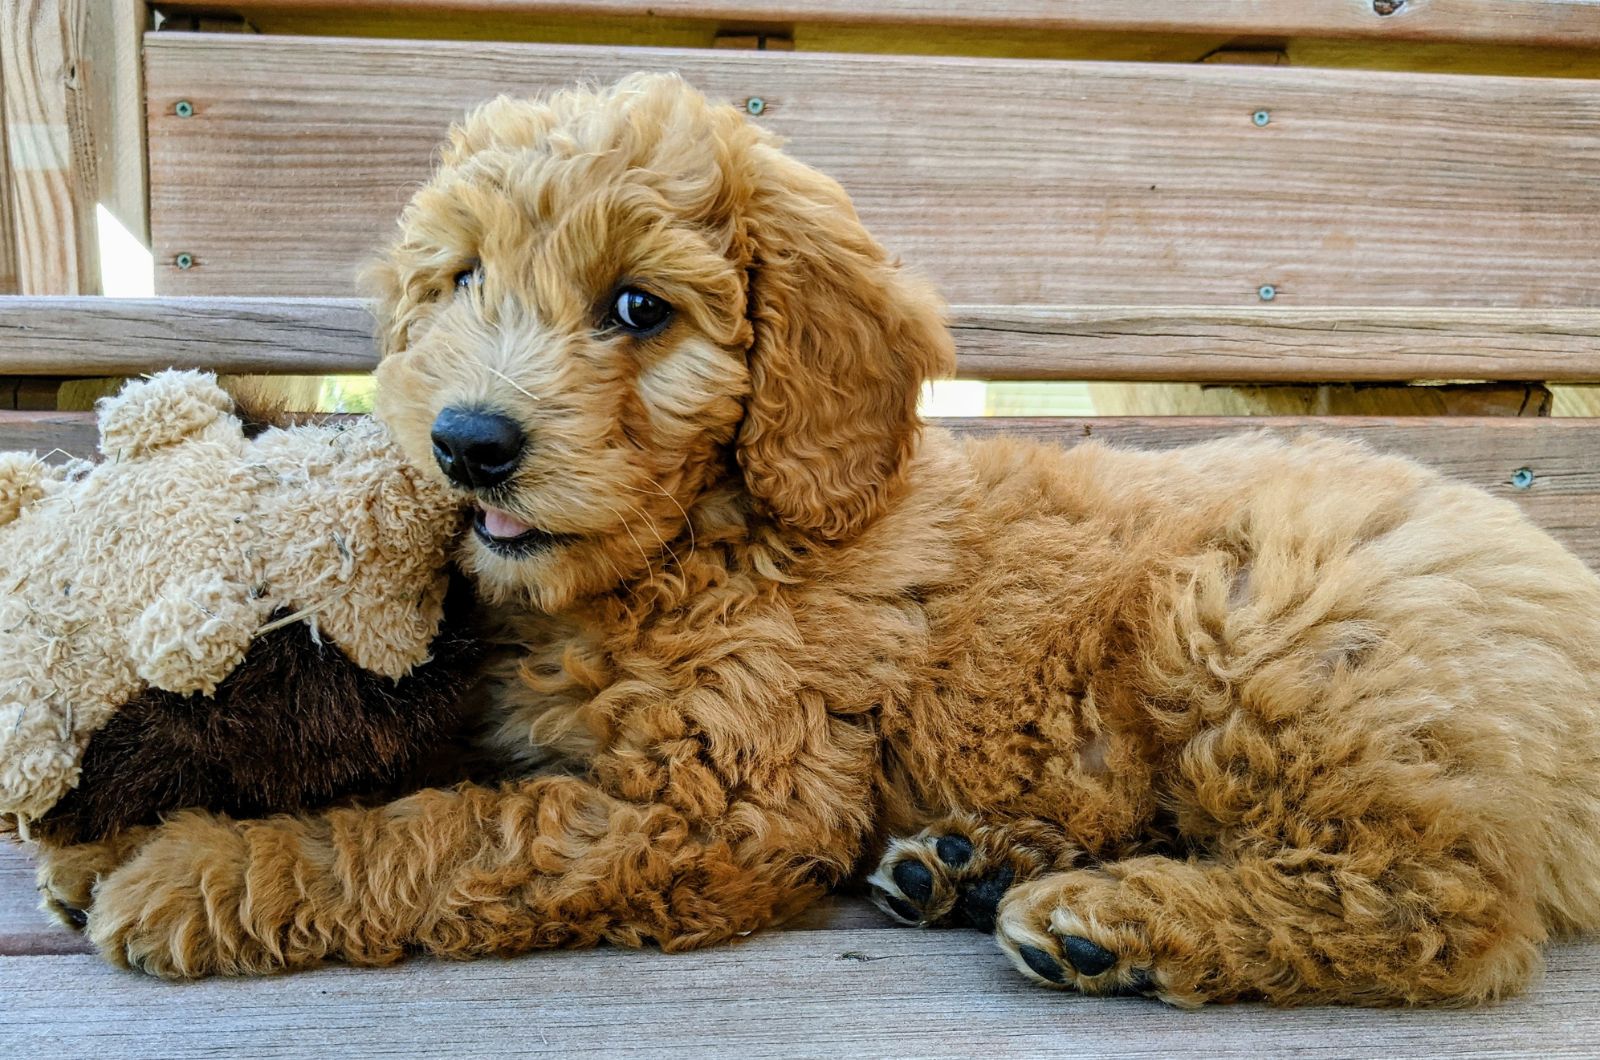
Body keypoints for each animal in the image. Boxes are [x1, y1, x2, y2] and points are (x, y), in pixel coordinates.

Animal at [43, 76, 1600, 1011]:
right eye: (463, 279)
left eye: (637, 308)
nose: (470, 443)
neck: (700, 541)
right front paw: (100, 844)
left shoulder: (718, 805)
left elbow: (439, 831)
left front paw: (197, 872)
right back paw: (959, 868)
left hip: (1259, 634)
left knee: (1444, 905)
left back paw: (1110, 918)